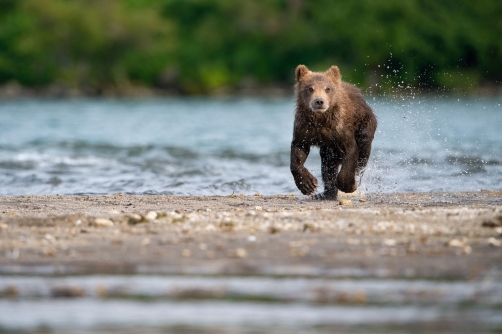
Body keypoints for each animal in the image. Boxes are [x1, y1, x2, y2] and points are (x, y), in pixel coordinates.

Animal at [290, 65, 376, 200]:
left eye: (327, 89)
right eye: (310, 88)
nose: (319, 101)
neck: (320, 119)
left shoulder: (339, 128)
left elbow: (351, 151)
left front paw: (349, 186)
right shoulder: (305, 127)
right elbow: (298, 150)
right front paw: (308, 185)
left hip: (365, 123)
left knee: (362, 152)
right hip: (328, 149)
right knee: (327, 165)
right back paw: (326, 194)